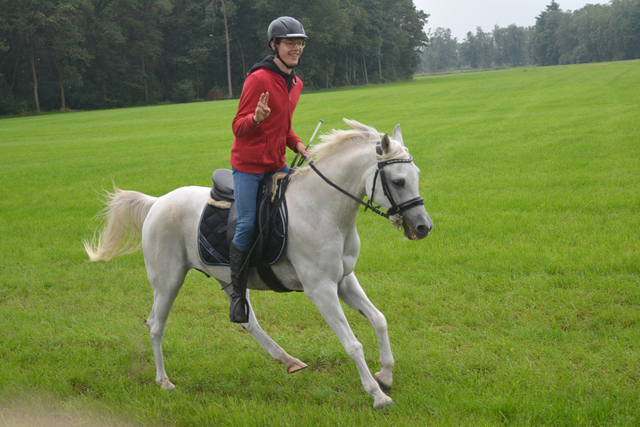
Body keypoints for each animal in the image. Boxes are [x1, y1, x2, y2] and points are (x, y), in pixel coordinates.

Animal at [84, 118, 436, 410]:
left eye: (416, 176)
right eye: (399, 181)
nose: (423, 227)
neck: (322, 208)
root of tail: (157, 203)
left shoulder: (343, 280)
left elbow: (379, 319)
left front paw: (385, 375)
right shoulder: (321, 289)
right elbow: (352, 344)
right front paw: (377, 395)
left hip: (229, 279)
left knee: (247, 321)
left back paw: (287, 359)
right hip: (167, 280)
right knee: (156, 325)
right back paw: (164, 382)